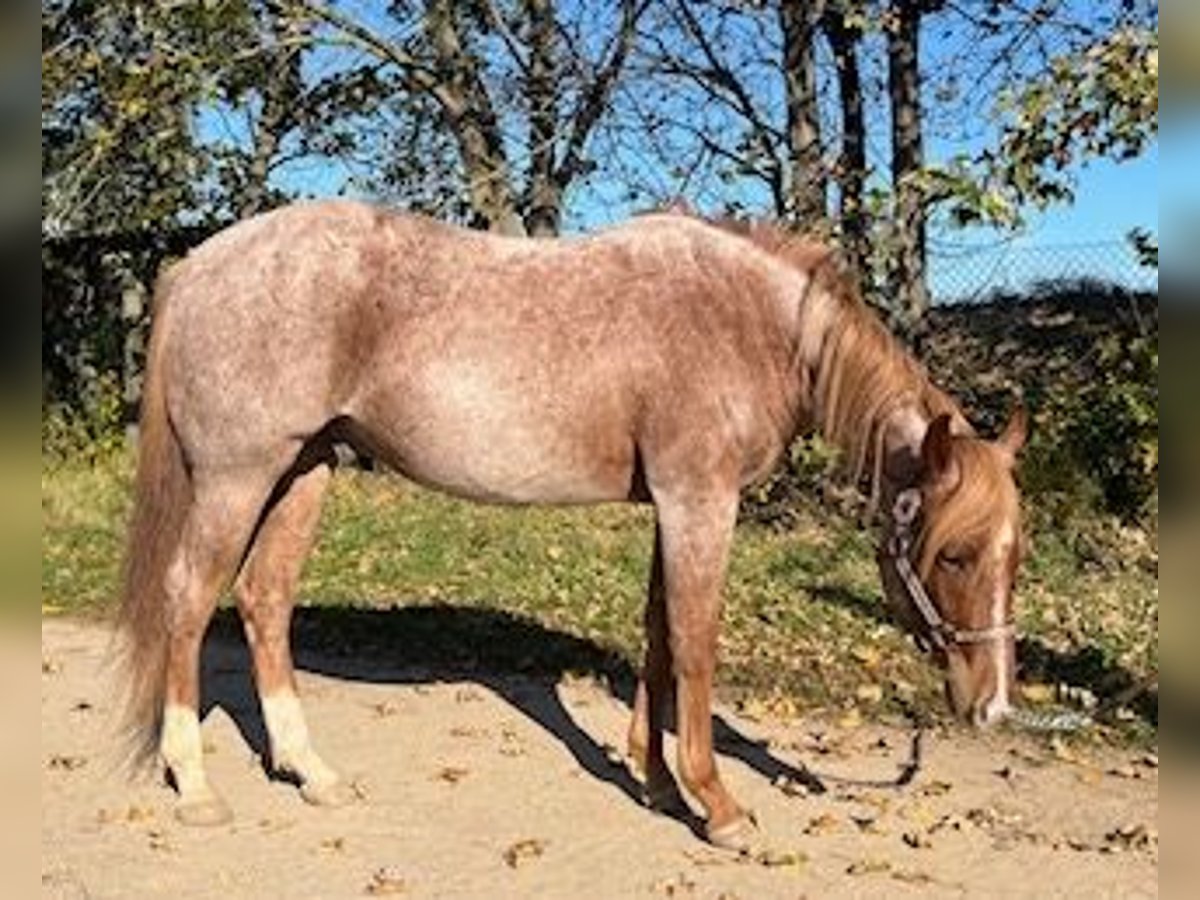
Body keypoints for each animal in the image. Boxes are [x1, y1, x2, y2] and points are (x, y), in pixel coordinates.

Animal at [117, 199, 1027, 854]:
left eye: (1015, 558)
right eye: (954, 554)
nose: (992, 707)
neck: (748, 323)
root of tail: (198, 266)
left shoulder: (673, 505)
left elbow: (657, 636)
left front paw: (656, 781)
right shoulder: (700, 501)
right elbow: (695, 645)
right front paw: (719, 806)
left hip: (305, 469)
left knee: (264, 601)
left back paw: (312, 772)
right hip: (239, 477)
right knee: (188, 600)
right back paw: (195, 784)